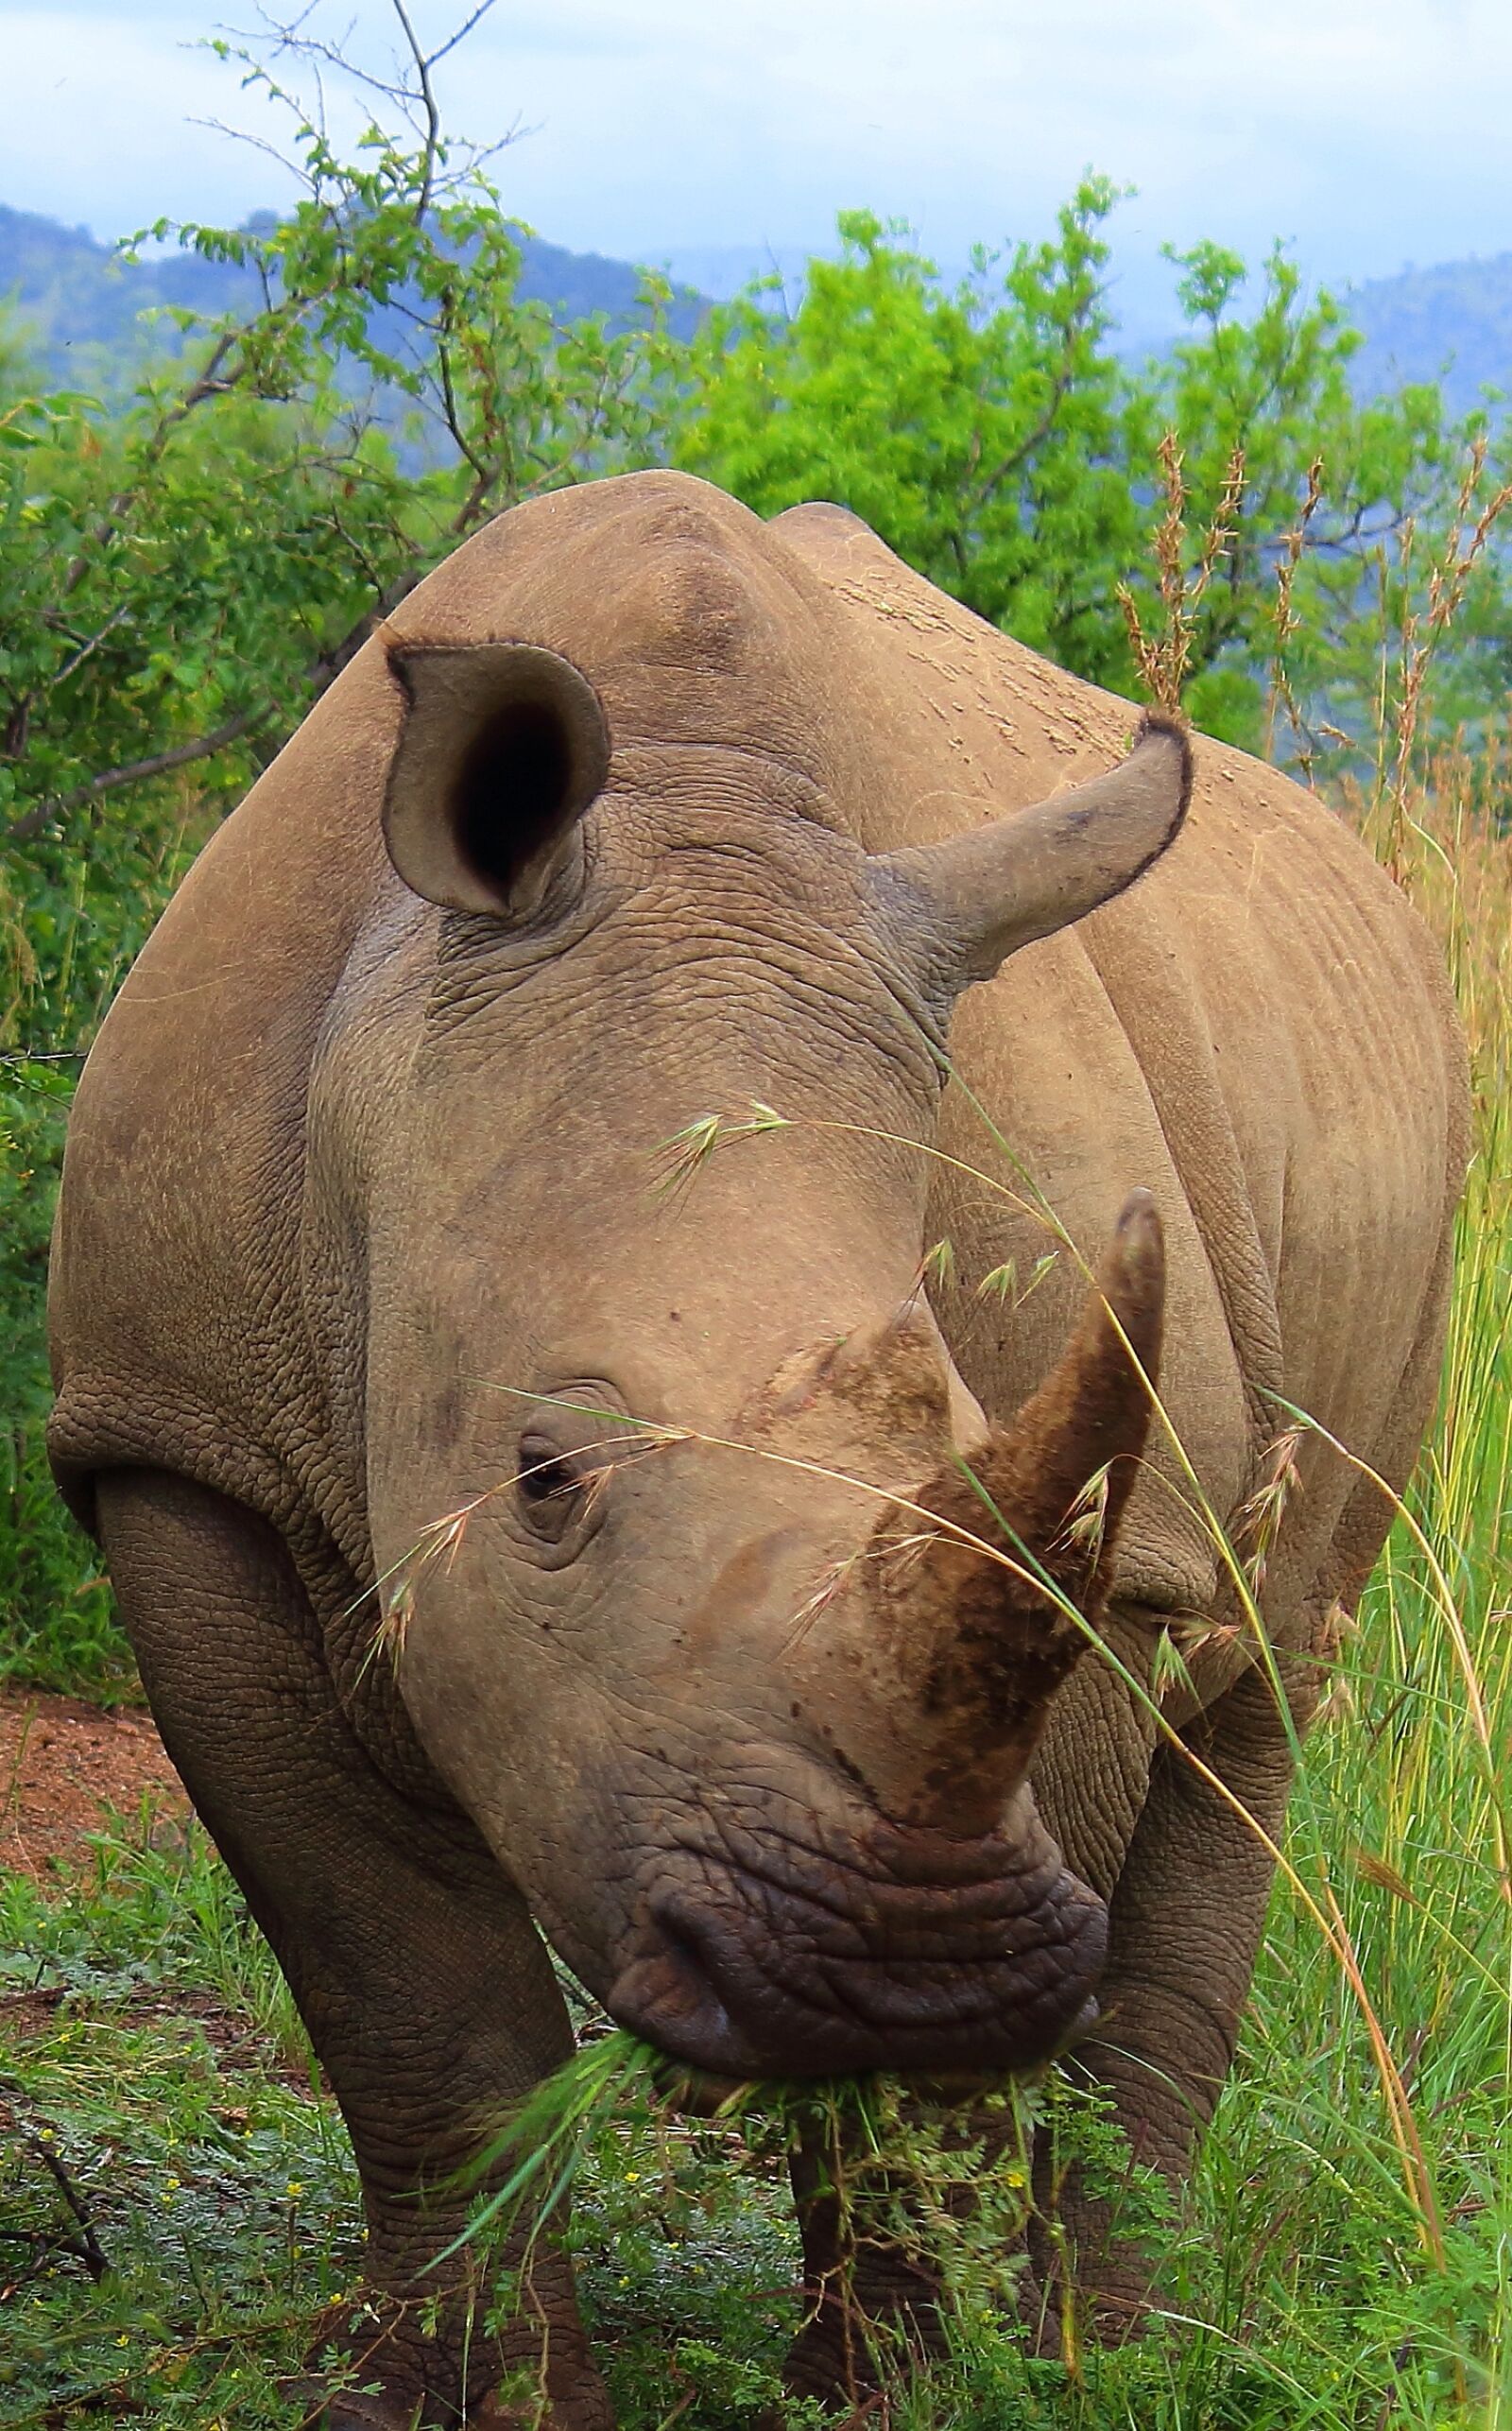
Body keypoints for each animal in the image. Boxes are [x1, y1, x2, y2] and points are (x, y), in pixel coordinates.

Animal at [48, 470, 1466, 2427]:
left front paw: (900, 2388)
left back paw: (1125, 2358)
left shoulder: (1126, 1549)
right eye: (543, 1481)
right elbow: (414, 2005)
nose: (914, 1962)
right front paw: (467, 2398)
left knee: (1265, 1689)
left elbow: (924, 2083)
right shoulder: (185, 1443)